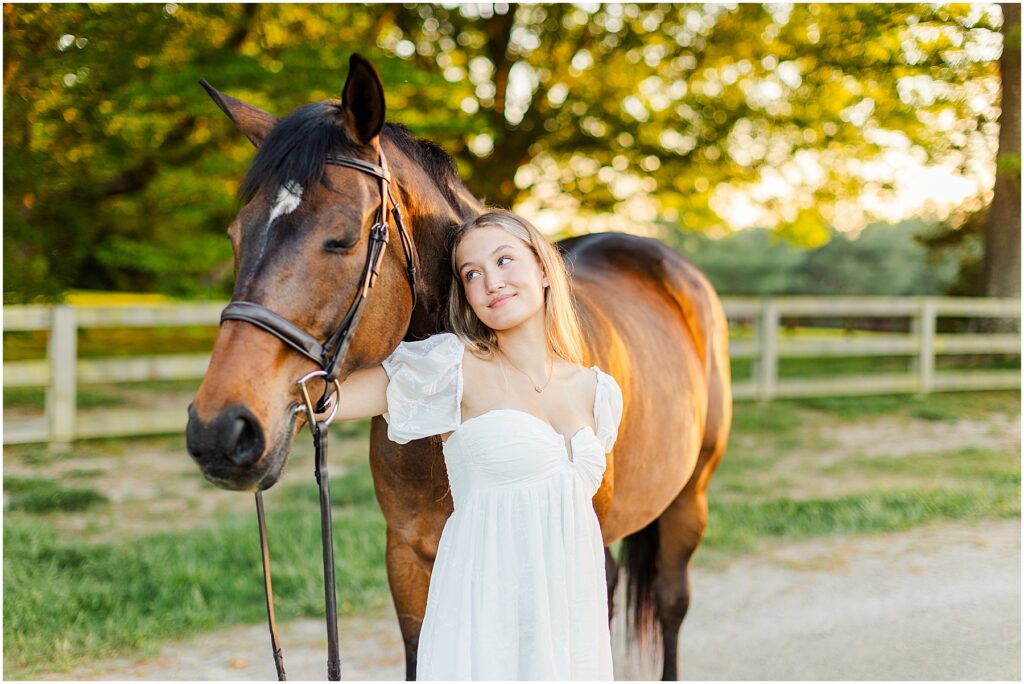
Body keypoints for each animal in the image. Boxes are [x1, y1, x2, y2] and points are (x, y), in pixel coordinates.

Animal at [184, 56, 729, 679]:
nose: (220, 432)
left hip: (689, 497)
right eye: (235, 236)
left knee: (670, 600)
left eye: (342, 239)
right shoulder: (406, 557)